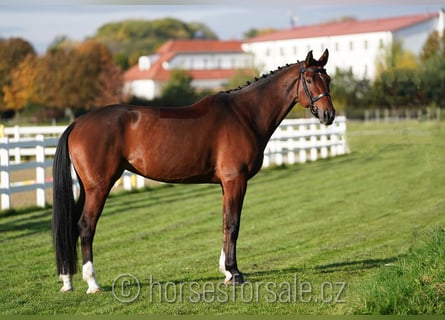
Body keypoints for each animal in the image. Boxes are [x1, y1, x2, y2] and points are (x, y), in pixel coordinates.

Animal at [52, 49, 332, 292]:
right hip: (99, 187)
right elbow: (233, 224)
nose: (328, 114)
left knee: (71, 226)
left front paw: (226, 271)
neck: (244, 115)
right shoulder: (236, 180)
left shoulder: (226, 184)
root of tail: (77, 123)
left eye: (328, 79)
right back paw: (92, 283)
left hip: (86, 188)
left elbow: (224, 222)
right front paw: (235, 273)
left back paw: (67, 280)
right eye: (309, 79)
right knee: (85, 226)